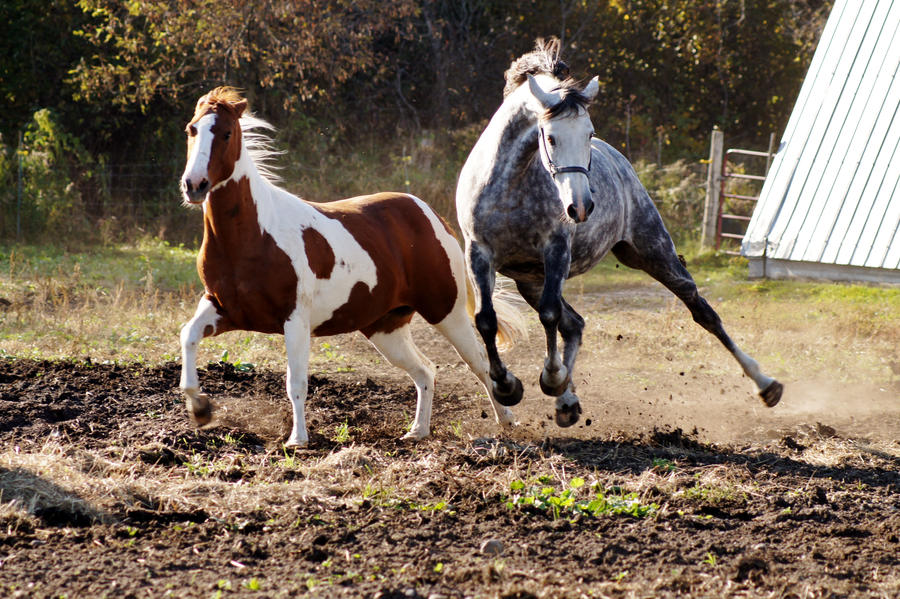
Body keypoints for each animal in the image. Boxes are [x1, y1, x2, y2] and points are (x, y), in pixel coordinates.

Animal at [178, 88, 524, 446]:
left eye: (226, 133)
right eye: (192, 129)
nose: (194, 185)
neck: (252, 235)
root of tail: (430, 214)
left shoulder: (295, 320)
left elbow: (296, 383)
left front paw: (298, 440)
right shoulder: (222, 308)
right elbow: (187, 336)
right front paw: (200, 410)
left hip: (446, 312)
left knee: (479, 363)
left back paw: (508, 422)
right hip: (385, 328)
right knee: (426, 370)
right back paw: (417, 431)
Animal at [458, 38, 780, 426]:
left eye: (589, 133)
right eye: (549, 137)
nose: (581, 207)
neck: (510, 185)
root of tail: (621, 162)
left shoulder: (556, 250)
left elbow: (548, 315)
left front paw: (549, 378)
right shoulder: (479, 254)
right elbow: (486, 321)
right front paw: (508, 385)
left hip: (650, 250)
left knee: (701, 310)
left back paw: (766, 384)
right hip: (529, 280)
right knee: (574, 324)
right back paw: (566, 402)